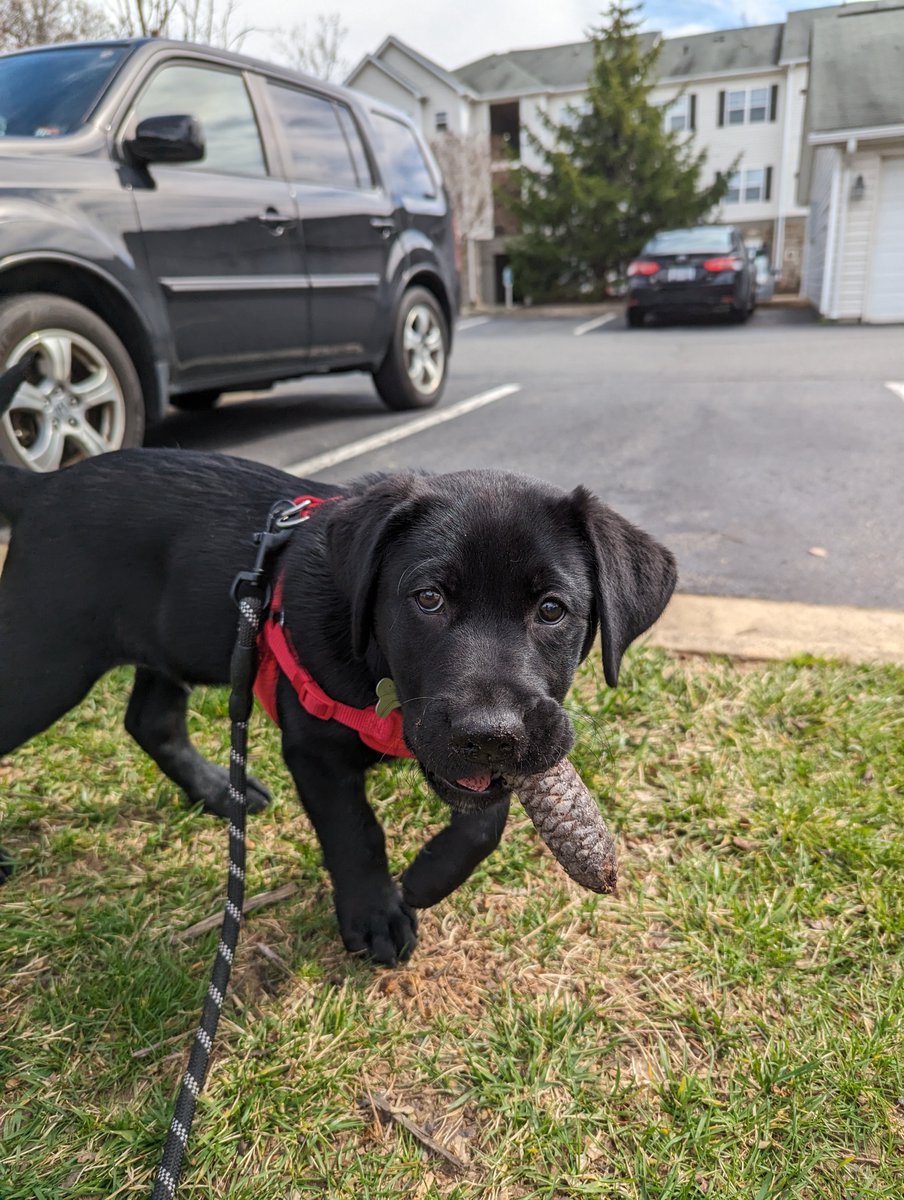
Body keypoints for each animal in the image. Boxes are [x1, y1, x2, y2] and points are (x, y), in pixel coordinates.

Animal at [0, 451, 672, 964]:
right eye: (428, 598)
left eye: (553, 609)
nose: (490, 734)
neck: (380, 674)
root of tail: (44, 484)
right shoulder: (314, 748)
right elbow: (355, 832)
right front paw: (376, 915)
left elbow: (487, 814)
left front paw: (430, 876)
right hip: (43, 663)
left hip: (163, 647)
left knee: (151, 721)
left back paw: (221, 793)